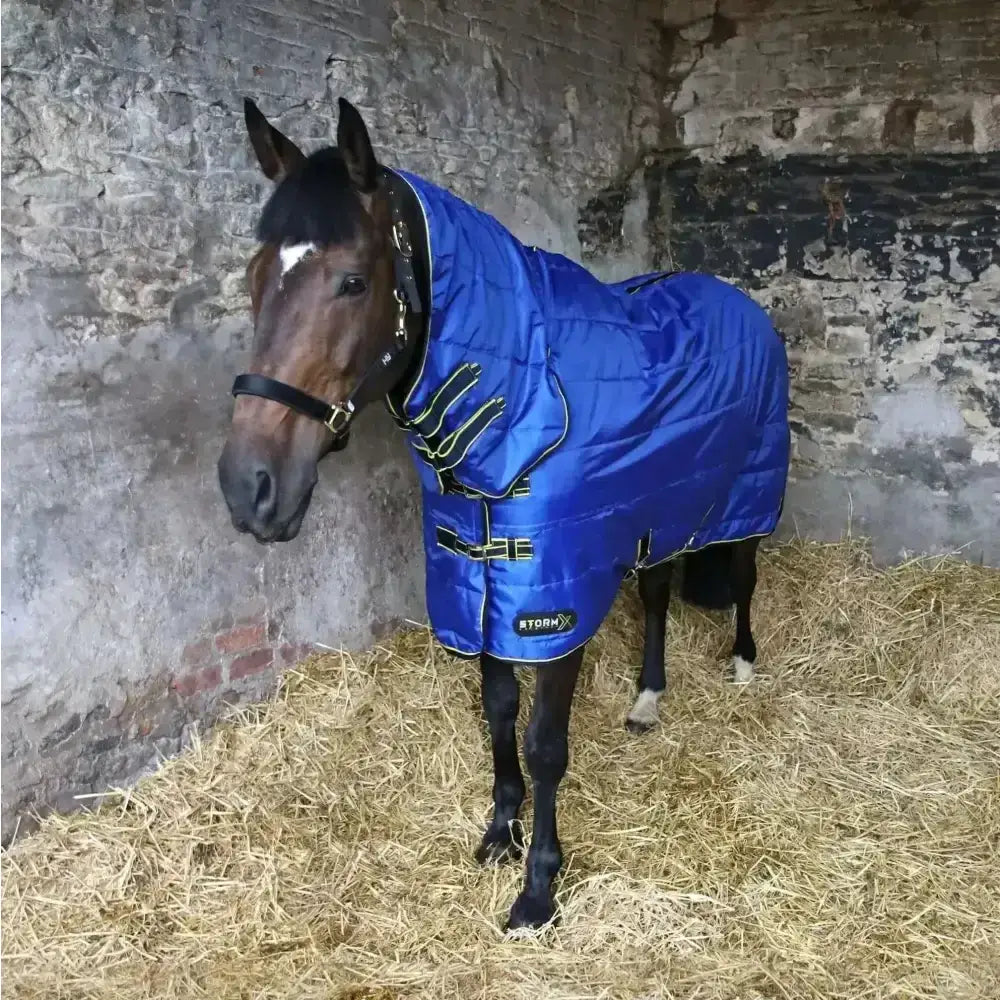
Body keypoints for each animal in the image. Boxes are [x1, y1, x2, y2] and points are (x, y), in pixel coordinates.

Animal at [218, 97, 790, 931]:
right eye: (255, 278)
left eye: (352, 281)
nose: (249, 485)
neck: (520, 403)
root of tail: (740, 301)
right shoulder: (478, 580)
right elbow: (496, 710)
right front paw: (499, 831)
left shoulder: (549, 605)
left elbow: (546, 741)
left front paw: (539, 886)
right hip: (658, 511)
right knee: (656, 595)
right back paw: (648, 700)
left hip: (746, 495)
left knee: (744, 578)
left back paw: (743, 661)